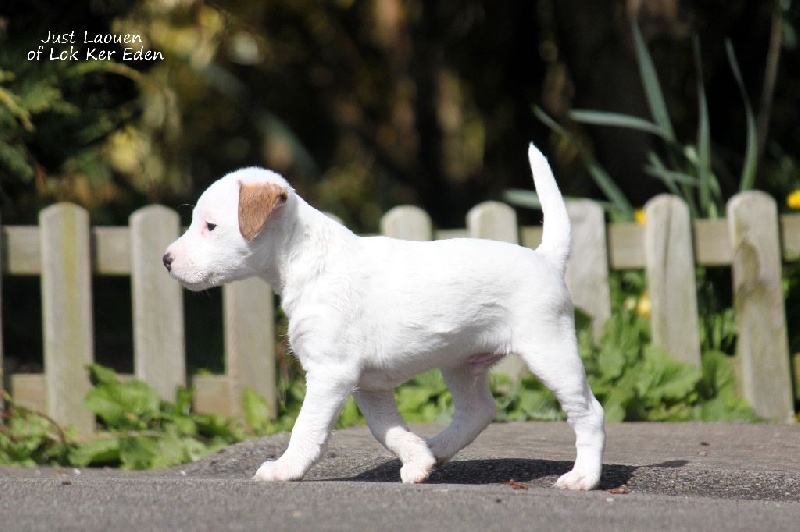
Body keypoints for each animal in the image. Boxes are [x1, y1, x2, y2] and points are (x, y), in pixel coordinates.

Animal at [163, 144, 605, 490]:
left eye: (210, 226)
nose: (166, 260)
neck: (308, 260)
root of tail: (545, 258)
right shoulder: (367, 384)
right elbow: (387, 430)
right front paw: (417, 459)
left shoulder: (330, 374)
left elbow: (307, 427)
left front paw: (285, 469)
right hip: (461, 364)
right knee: (478, 411)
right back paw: (436, 449)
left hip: (551, 353)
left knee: (589, 412)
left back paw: (583, 477)